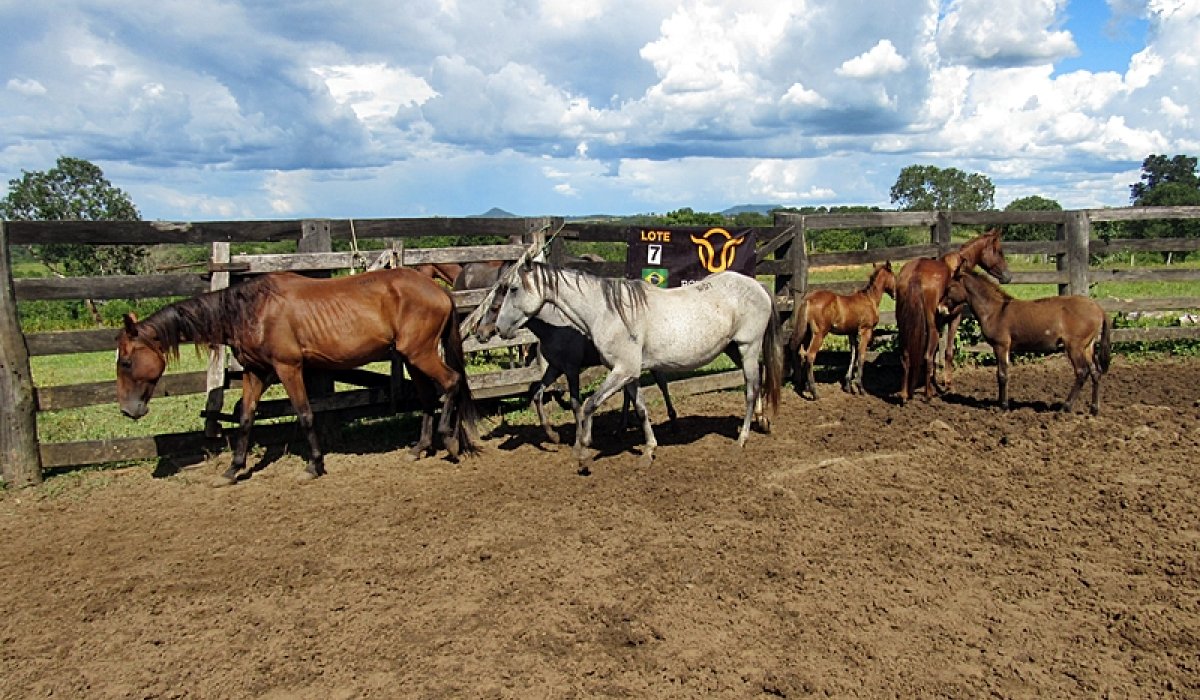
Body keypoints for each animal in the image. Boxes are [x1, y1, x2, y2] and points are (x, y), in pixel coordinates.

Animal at [116, 269, 481, 486]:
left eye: (127, 362)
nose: (128, 410)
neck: (253, 310)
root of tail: (439, 291)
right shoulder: (256, 372)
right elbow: (246, 419)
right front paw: (232, 470)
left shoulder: (288, 367)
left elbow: (305, 414)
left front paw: (314, 466)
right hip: (410, 357)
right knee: (427, 397)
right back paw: (419, 448)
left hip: (420, 353)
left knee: (451, 383)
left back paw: (450, 441)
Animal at [475, 289, 678, 445]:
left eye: (495, 307)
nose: (479, 334)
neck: (553, 329)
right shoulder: (555, 368)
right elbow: (538, 394)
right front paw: (553, 436)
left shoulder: (572, 369)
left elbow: (575, 404)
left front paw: (579, 438)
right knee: (629, 392)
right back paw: (621, 428)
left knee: (661, 383)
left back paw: (672, 419)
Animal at [788, 261, 896, 399]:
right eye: (894, 276)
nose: (895, 294)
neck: (869, 299)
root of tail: (808, 299)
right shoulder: (866, 330)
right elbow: (861, 356)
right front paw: (860, 388)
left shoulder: (852, 333)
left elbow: (853, 354)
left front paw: (848, 385)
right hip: (819, 334)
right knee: (810, 355)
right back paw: (814, 392)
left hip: (807, 334)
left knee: (800, 353)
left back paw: (804, 386)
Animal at [895, 228, 1012, 403]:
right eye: (998, 251)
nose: (1008, 276)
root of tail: (916, 274)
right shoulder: (954, 319)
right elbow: (948, 353)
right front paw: (948, 385)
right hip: (932, 327)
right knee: (927, 356)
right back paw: (928, 395)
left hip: (903, 326)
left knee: (906, 356)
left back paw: (904, 394)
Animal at [940, 267, 1112, 415]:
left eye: (950, 287)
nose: (940, 309)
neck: (996, 311)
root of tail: (1098, 308)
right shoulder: (1002, 347)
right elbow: (1001, 373)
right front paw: (1001, 403)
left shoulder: (1001, 346)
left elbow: (1002, 374)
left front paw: (1004, 406)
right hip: (1087, 347)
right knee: (1095, 372)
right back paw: (1094, 409)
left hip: (1074, 347)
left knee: (1082, 372)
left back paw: (1066, 407)